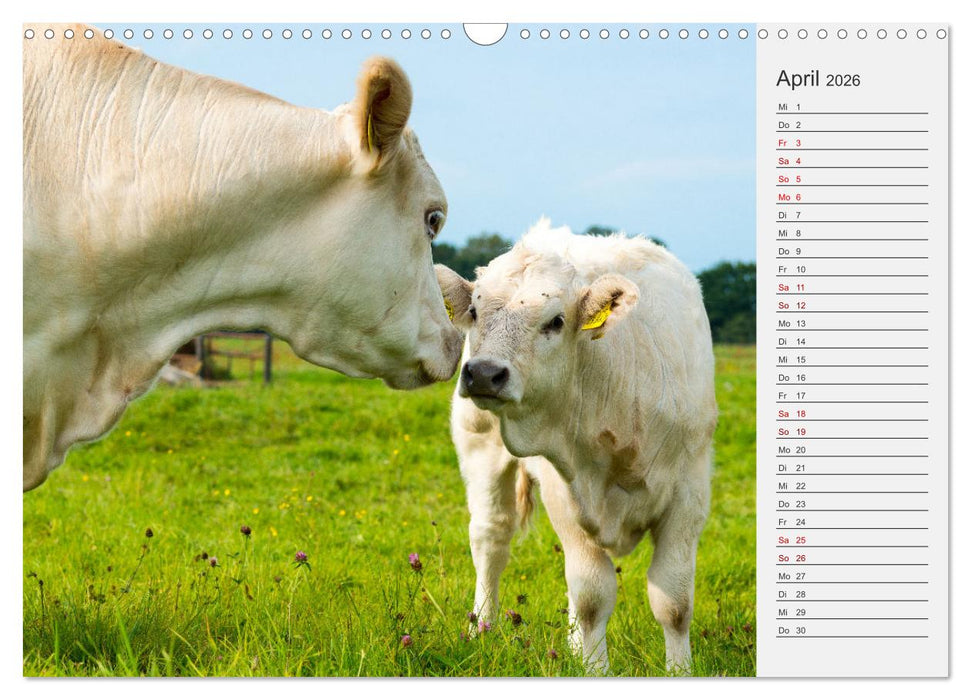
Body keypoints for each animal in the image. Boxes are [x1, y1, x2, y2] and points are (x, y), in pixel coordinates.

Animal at [442, 219, 718, 674]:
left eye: (556, 321)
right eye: (476, 313)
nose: (483, 373)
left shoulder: (689, 491)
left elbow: (673, 602)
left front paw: (679, 671)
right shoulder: (565, 490)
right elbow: (592, 596)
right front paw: (594, 669)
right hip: (479, 445)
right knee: (490, 540)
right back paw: (480, 627)